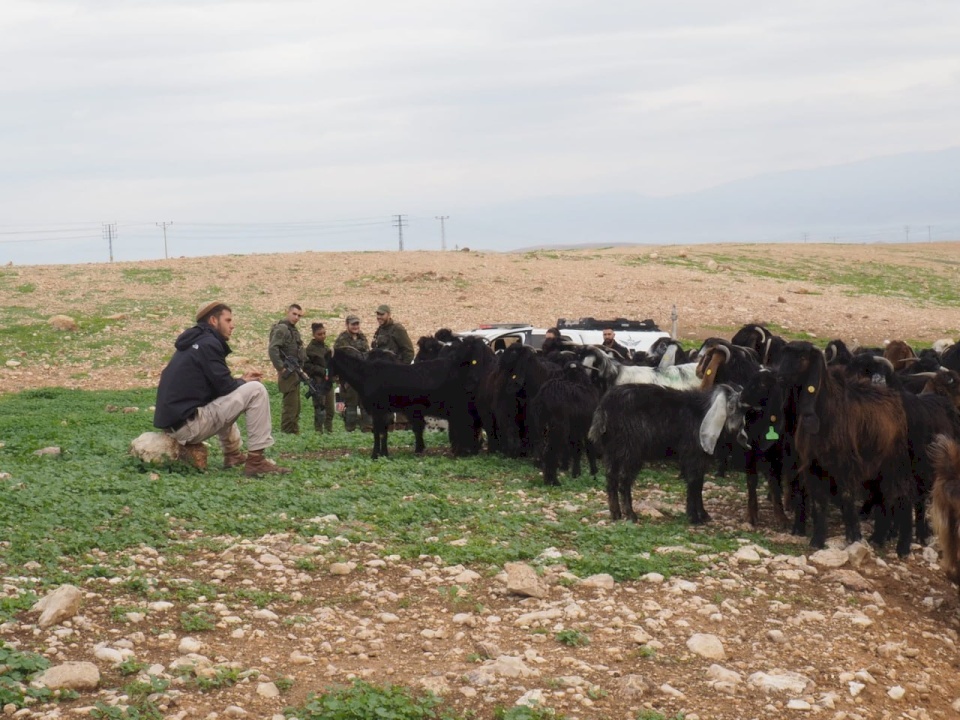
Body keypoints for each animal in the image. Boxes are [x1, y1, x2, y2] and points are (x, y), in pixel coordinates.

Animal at [584, 386, 752, 524]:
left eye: (742, 410)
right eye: (731, 406)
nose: (735, 428)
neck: (702, 413)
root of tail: (604, 408)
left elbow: (699, 484)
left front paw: (703, 515)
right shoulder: (693, 456)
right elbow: (694, 483)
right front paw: (695, 518)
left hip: (612, 451)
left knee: (611, 479)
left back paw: (616, 514)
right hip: (630, 451)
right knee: (624, 481)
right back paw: (631, 515)